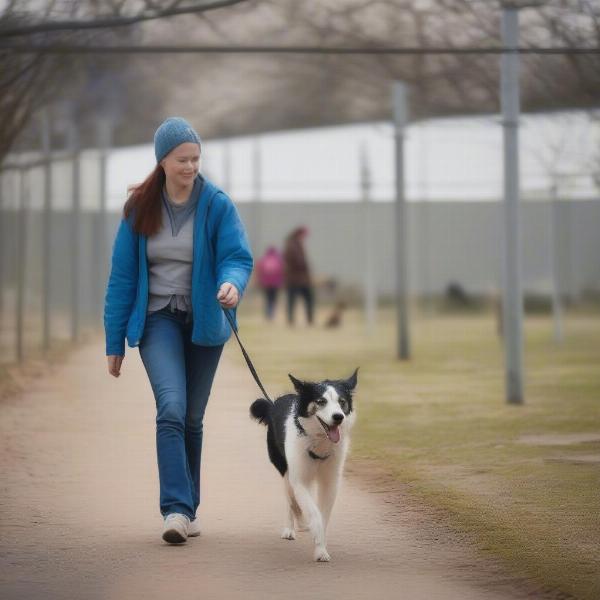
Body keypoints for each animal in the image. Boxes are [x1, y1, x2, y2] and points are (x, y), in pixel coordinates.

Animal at [248, 368, 356, 560]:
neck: (319, 441)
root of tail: (273, 405)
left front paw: (321, 549)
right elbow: (313, 513)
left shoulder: (331, 482)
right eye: (321, 401)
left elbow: (322, 516)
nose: (338, 417)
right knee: (290, 501)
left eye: (342, 402)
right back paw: (291, 528)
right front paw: (316, 539)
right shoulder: (299, 479)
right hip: (285, 471)